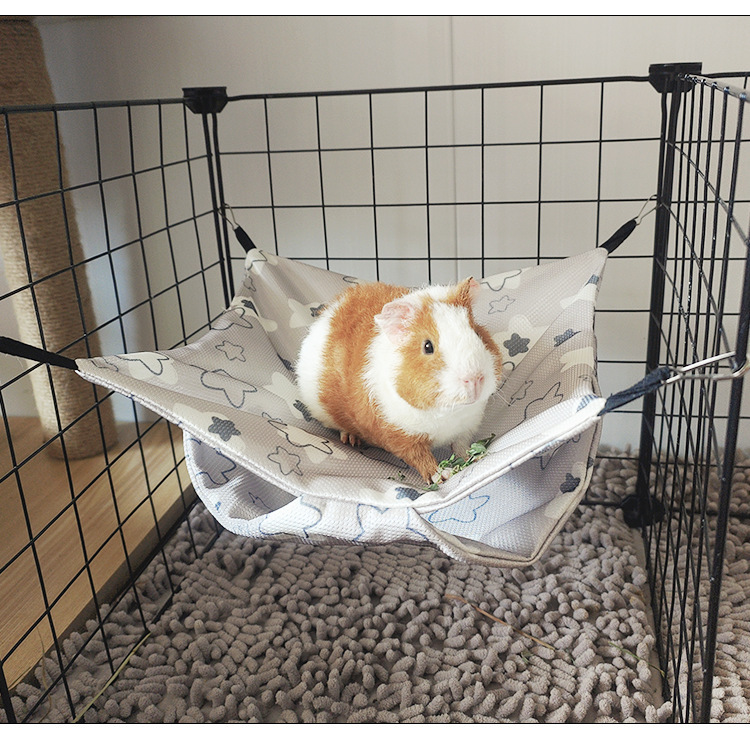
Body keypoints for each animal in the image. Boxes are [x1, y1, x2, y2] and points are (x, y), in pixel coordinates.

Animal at [296, 277, 503, 486]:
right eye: (428, 346)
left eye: (477, 333)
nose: (475, 378)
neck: (449, 412)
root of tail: (332, 308)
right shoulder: (401, 436)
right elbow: (421, 459)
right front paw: (443, 475)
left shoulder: (466, 427)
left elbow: (460, 446)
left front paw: (474, 458)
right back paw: (351, 439)